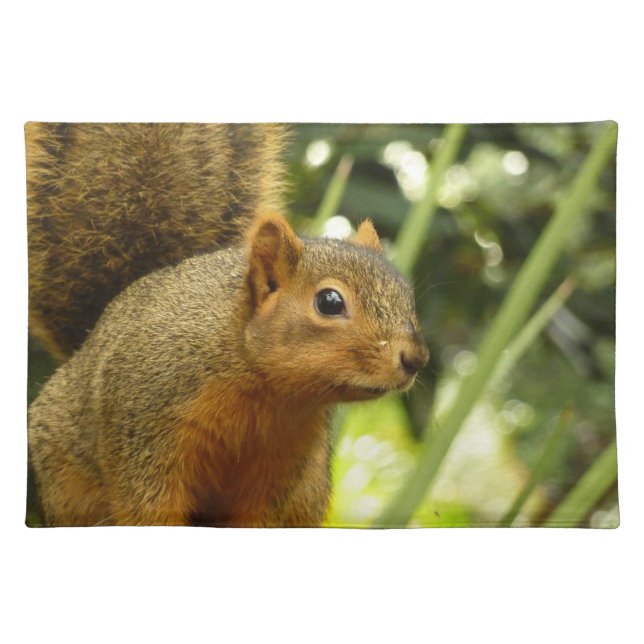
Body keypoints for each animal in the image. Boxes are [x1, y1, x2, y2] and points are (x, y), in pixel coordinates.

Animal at [26, 123, 429, 527]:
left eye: (407, 293)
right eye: (329, 302)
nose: (415, 359)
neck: (265, 389)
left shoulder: (284, 464)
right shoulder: (144, 425)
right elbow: (148, 504)